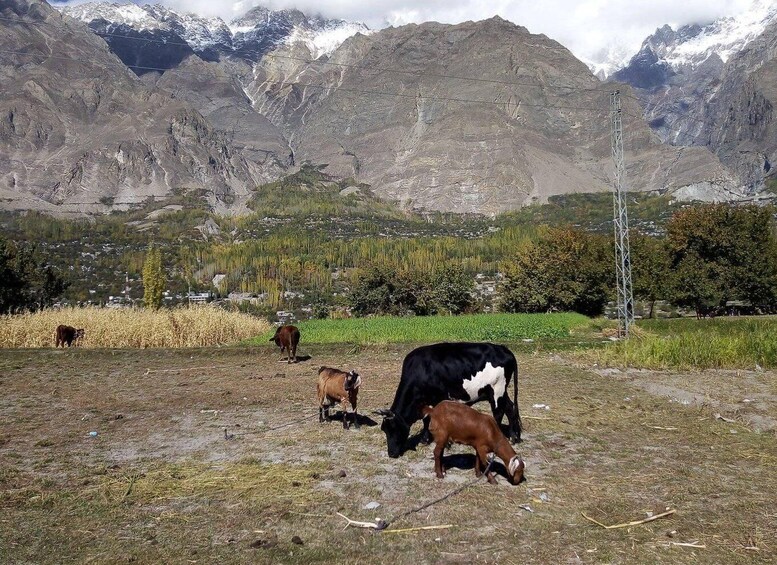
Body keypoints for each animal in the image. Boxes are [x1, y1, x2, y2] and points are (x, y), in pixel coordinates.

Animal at [376, 342, 520, 456]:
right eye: (384, 429)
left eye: (394, 428)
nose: (391, 453)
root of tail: (503, 348)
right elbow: (426, 419)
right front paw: (425, 439)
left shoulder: (435, 399)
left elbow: (429, 419)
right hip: (501, 392)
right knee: (510, 408)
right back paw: (514, 437)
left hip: (497, 389)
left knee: (498, 413)